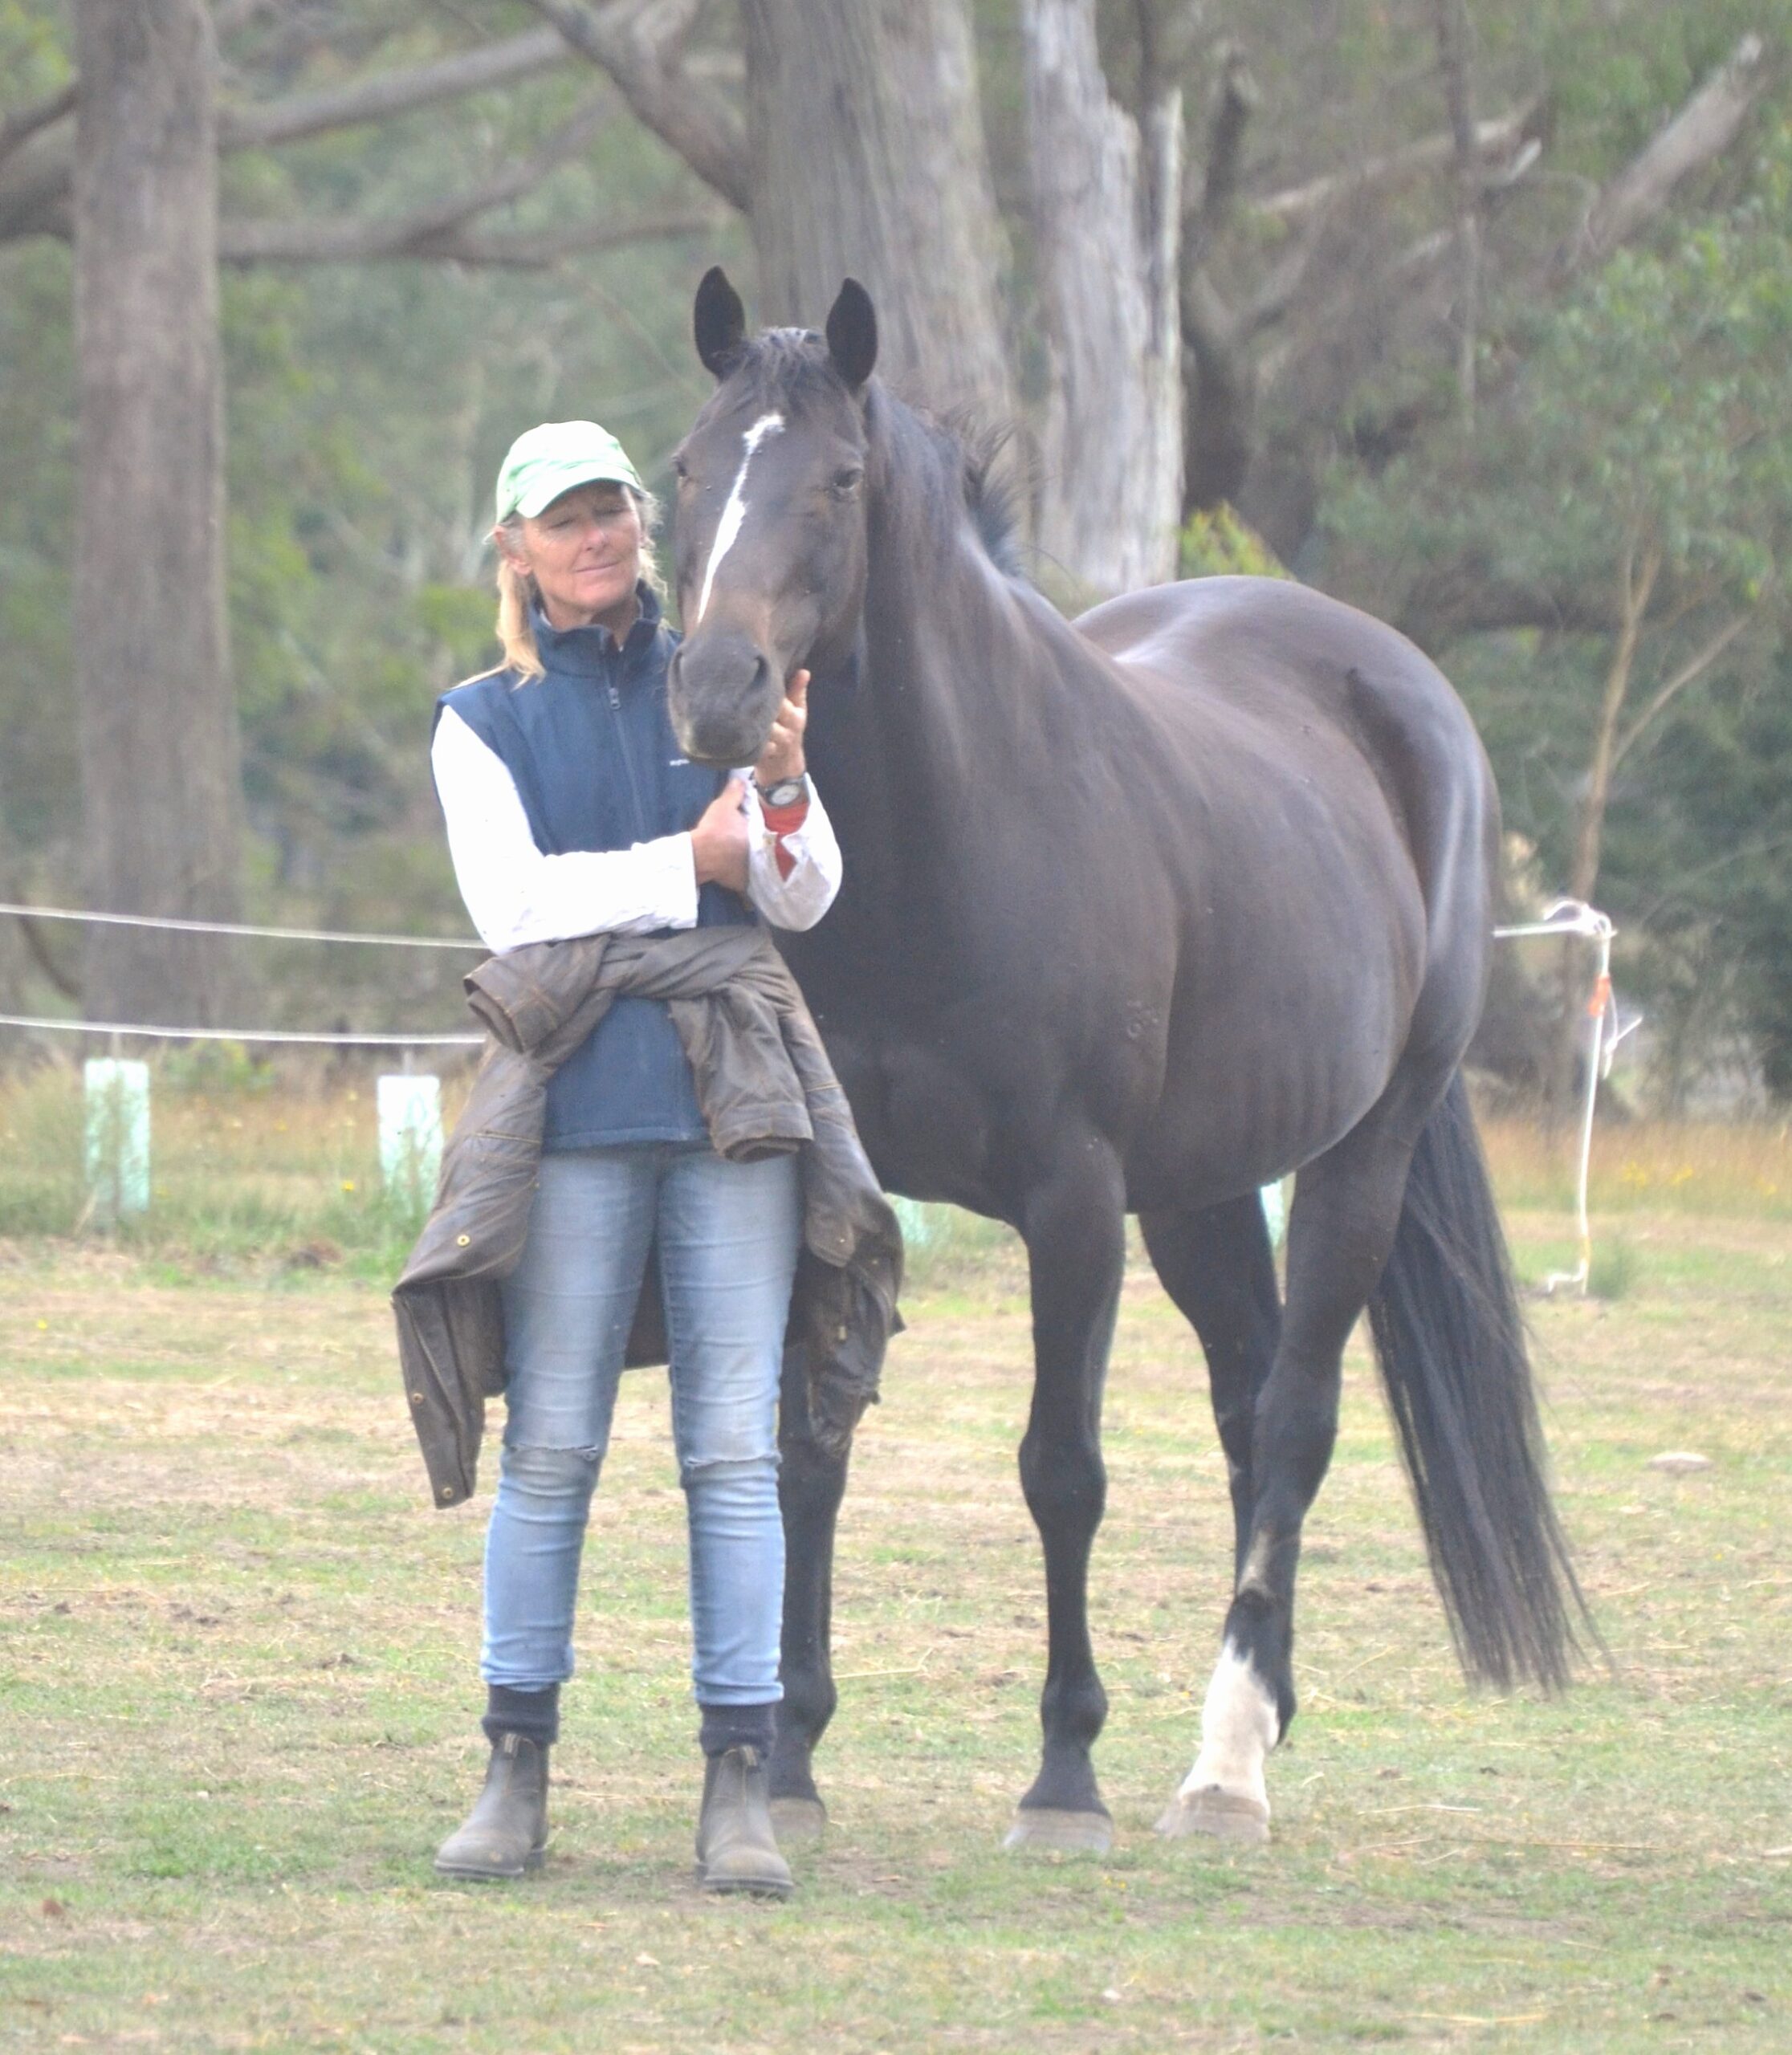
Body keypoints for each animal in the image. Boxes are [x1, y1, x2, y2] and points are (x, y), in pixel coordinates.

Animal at [663, 267, 1586, 1851]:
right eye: (686, 469)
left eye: (837, 479)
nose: (719, 689)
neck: (946, 838)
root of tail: (1400, 688)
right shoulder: (823, 1182)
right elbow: (807, 1448)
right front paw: (786, 1757)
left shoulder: (1074, 1203)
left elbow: (1062, 1471)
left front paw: (1064, 1771)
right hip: (1205, 1191)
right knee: (1244, 1410)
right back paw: (1266, 1709)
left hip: (1360, 1157)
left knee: (1294, 1420)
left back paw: (1223, 1768)